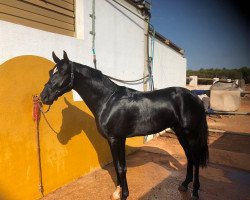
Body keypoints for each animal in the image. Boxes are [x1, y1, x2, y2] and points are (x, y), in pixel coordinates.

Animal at [41, 51, 209, 200]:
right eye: (50, 72)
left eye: (62, 72)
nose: (43, 96)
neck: (108, 101)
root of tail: (195, 98)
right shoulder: (111, 140)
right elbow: (116, 166)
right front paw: (117, 192)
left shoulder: (118, 139)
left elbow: (122, 168)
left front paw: (124, 195)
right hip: (180, 133)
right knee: (190, 157)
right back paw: (184, 185)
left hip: (191, 134)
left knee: (195, 158)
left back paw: (195, 192)